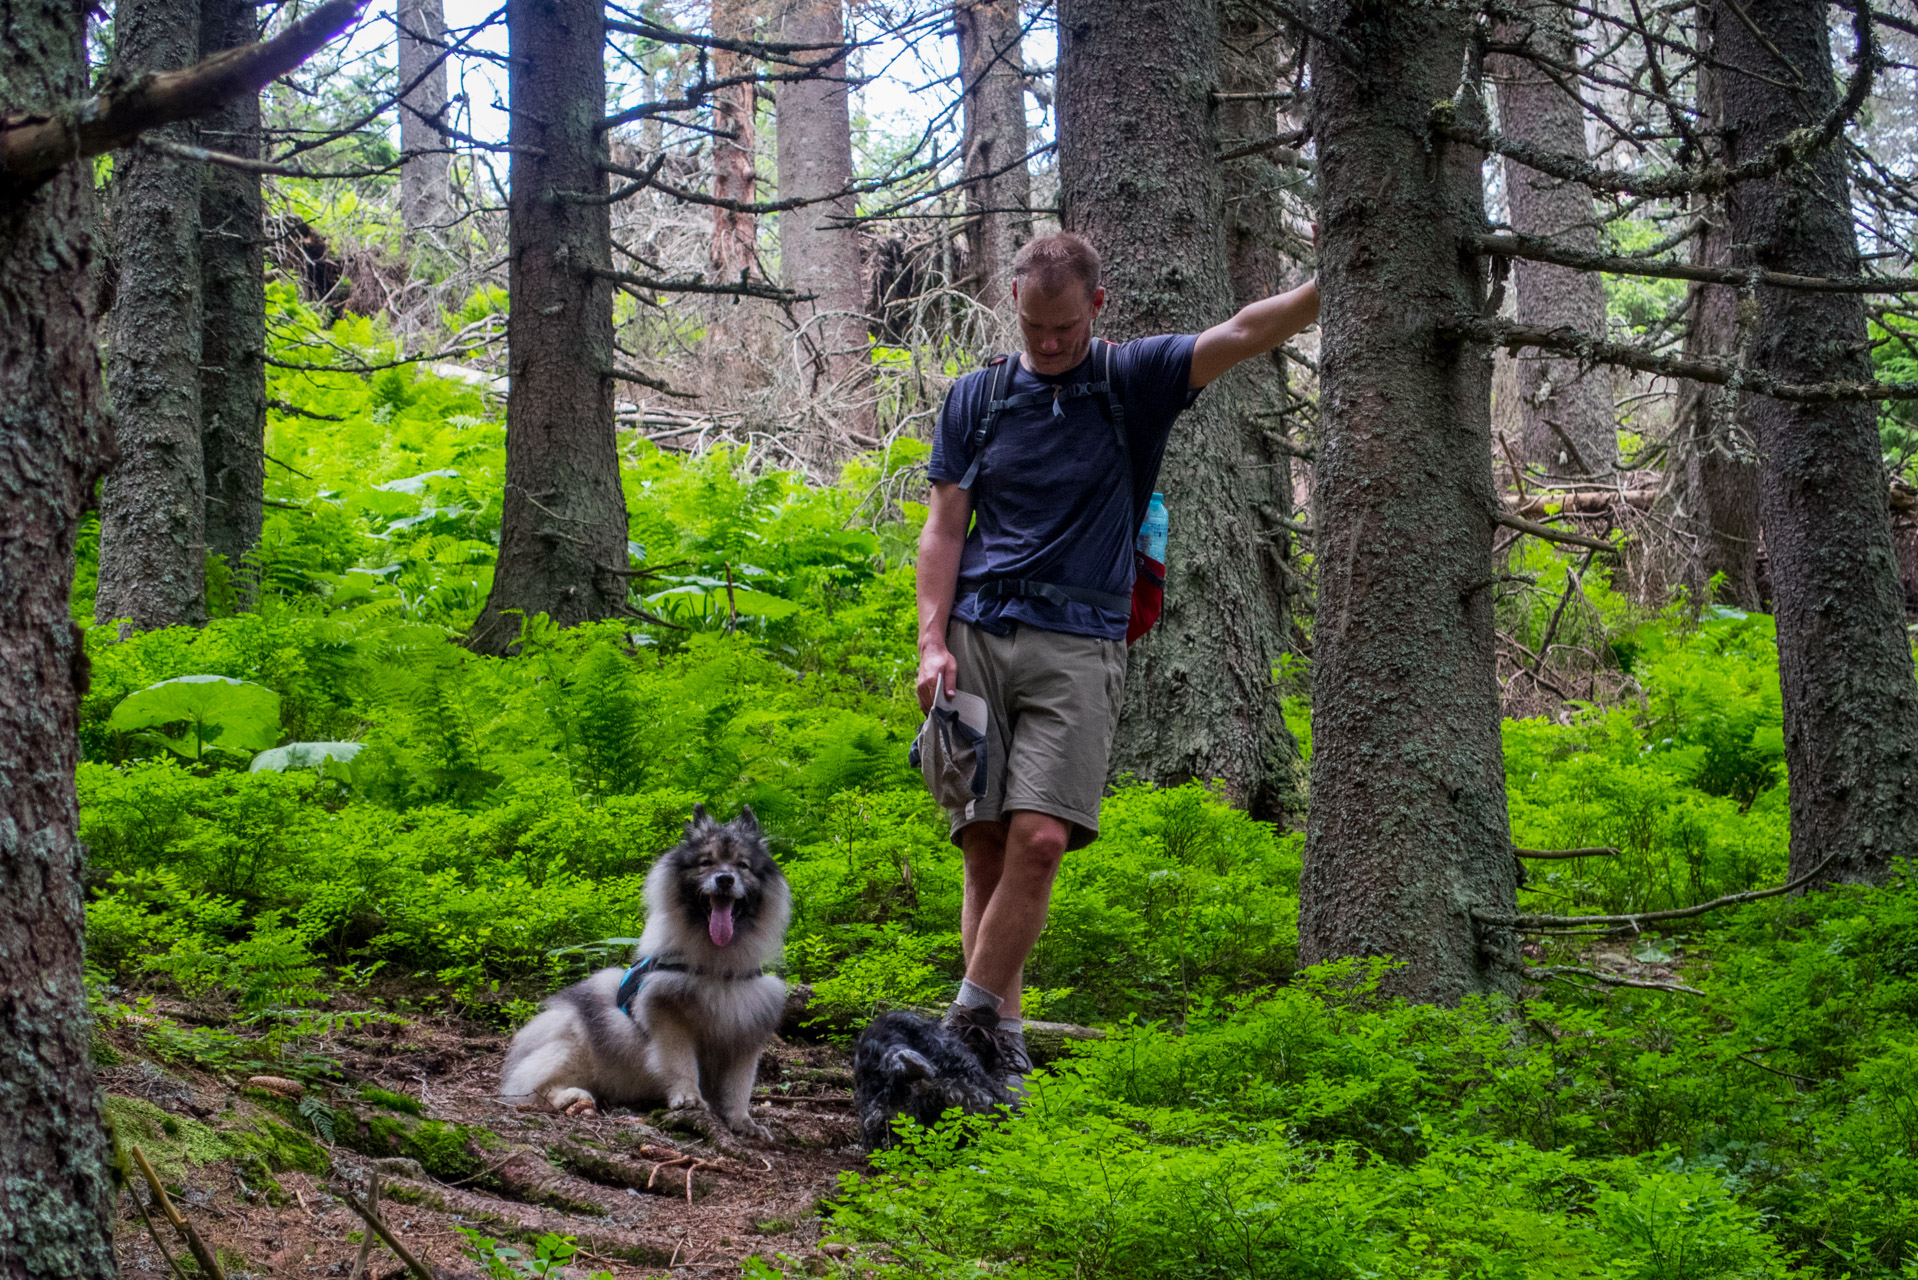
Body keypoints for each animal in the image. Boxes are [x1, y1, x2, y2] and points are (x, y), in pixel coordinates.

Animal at [506, 809, 790, 1143]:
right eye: (706, 863)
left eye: (742, 865)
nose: (724, 879)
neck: (717, 967)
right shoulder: (669, 1017)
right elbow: (681, 1063)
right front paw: (688, 1098)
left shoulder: (744, 1033)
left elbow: (739, 1087)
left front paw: (743, 1122)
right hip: (576, 1039)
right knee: (532, 1087)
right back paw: (572, 1097)